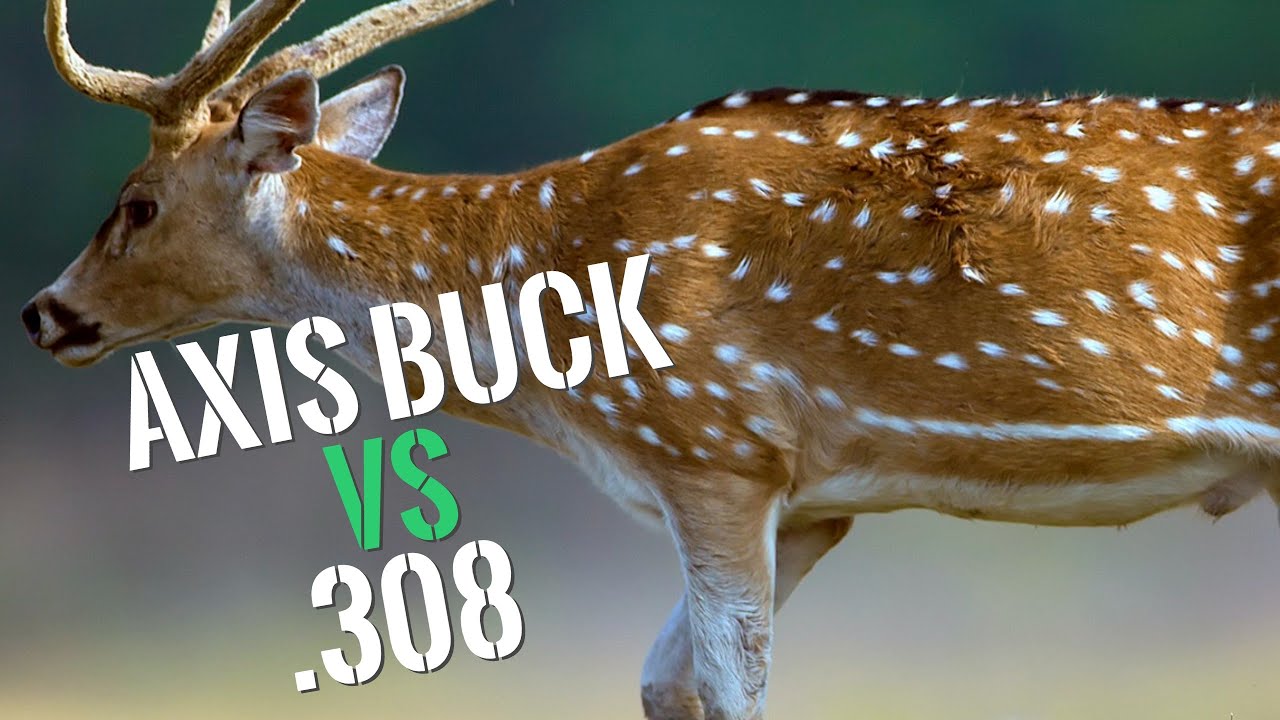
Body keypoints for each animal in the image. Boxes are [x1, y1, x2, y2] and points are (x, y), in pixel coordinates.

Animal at [19, 0, 1280, 718]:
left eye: (136, 204)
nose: (45, 312)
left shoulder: (711, 442)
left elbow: (730, 690)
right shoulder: (806, 495)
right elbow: (662, 683)